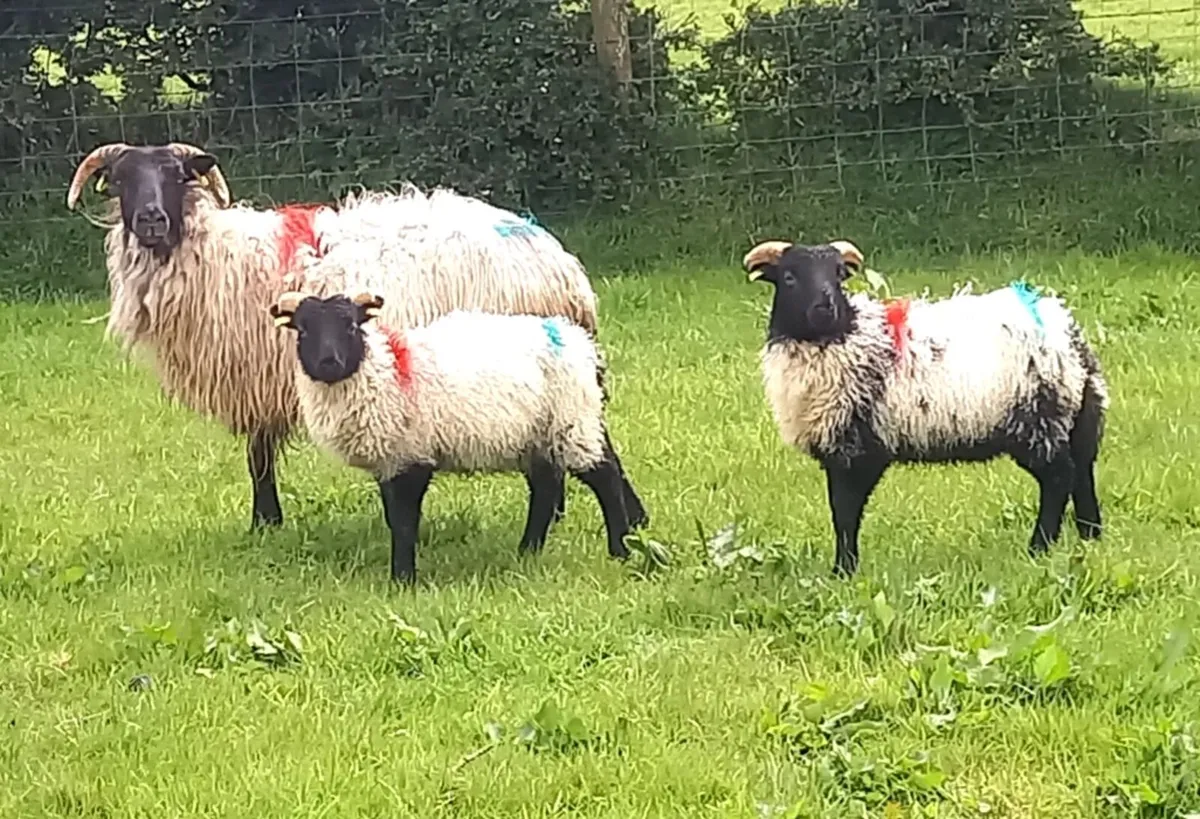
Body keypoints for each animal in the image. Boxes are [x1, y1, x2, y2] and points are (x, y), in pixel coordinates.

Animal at [65, 141, 647, 533]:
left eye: (175, 175)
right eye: (121, 179)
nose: (151, 219)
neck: (216, 254)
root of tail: (557, 262)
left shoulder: (265, 373)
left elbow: (258, 457)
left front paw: (265, 521)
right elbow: (259, 455)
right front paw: (267, 524)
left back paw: (629, 519)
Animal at [268, 290, 641, 584]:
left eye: (350, 326)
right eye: (302, 330)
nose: (329, 362)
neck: (382, 372)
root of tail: (577, 340)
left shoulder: (411, 455)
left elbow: (403, 522)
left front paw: (402, 579)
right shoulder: (391, 460)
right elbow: (394, 518)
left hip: (572, 419)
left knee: (604, 476)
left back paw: (619, 549)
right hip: (538, 435)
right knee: (546, 488)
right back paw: (527, 551)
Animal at [741, 239, 1108, 577]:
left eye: (838, 276)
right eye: (789, 277)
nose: (825, 307)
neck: (843, 336)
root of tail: (1067, 332)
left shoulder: (857, 450)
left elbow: (844, 512)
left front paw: (843, 571)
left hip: (1038, 419)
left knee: (1060, 477)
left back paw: (1039, 547)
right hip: (1073, 417)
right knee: (1082, 470)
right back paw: (1090, 537)